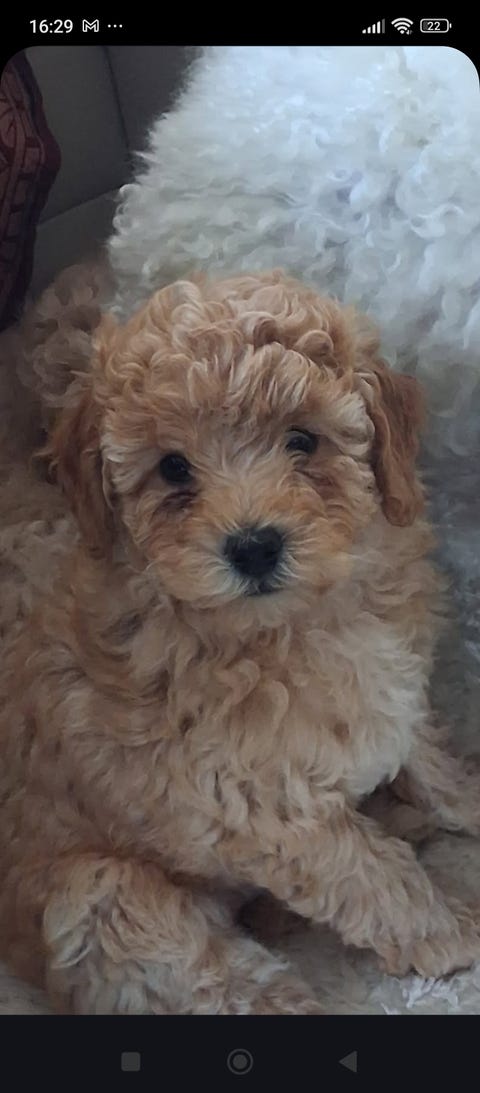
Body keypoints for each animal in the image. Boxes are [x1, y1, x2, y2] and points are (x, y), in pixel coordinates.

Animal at [1, 270, 480, 1015]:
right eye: (173, 468)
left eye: (303, 440)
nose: (253, 546)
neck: (297, 623)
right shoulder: (267, 813)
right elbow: (374, 880)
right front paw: (452, 933)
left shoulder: (396, 694)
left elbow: (430, 755)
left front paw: (467, 799)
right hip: (100, 899)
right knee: (222, 980)